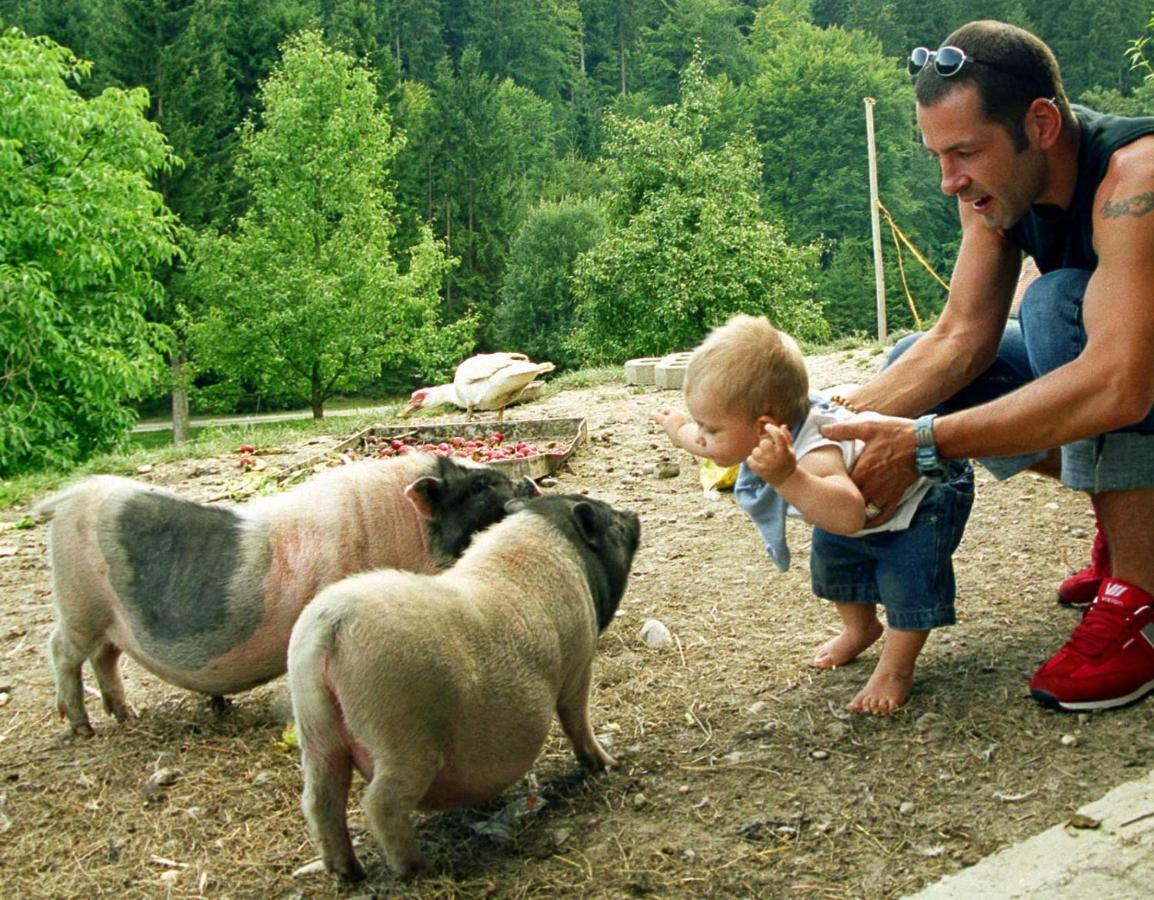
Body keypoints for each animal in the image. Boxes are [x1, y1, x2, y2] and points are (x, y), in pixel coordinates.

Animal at [33, 454, 537, 733]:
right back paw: (82, 729)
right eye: (477, 486)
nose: (529, 483)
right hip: (78, 606)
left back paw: (128, 716)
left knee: (105, 659)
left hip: (106, 622)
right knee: (61, 651)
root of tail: (67, 498)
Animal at [286, 491, 641, 876]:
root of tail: (332, 627)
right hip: (403, 738)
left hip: (316, 729)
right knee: (379, 803)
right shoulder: (579, 662)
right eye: (612, 521)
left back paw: (348, 873)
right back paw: (418, 869)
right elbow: (576, 719)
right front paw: (608, 764)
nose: (633, 514)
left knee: (320, 800)